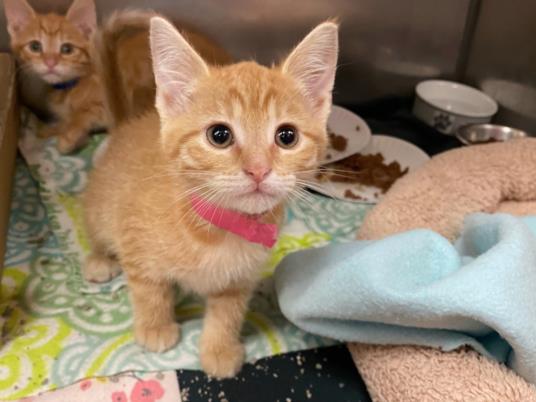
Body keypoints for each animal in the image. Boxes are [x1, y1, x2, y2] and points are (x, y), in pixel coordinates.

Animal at [82, 17, 338, 378]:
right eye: (219, 135)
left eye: (287, 136)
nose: (258, 170)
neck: (220, 228)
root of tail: (126, 126)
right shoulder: (134, 236)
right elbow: (148, 288)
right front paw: (154, 326)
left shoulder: (238, 280)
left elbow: (227, 312)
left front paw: (219, 349)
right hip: (102, 205)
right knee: (98, 228)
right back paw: (99, 259)